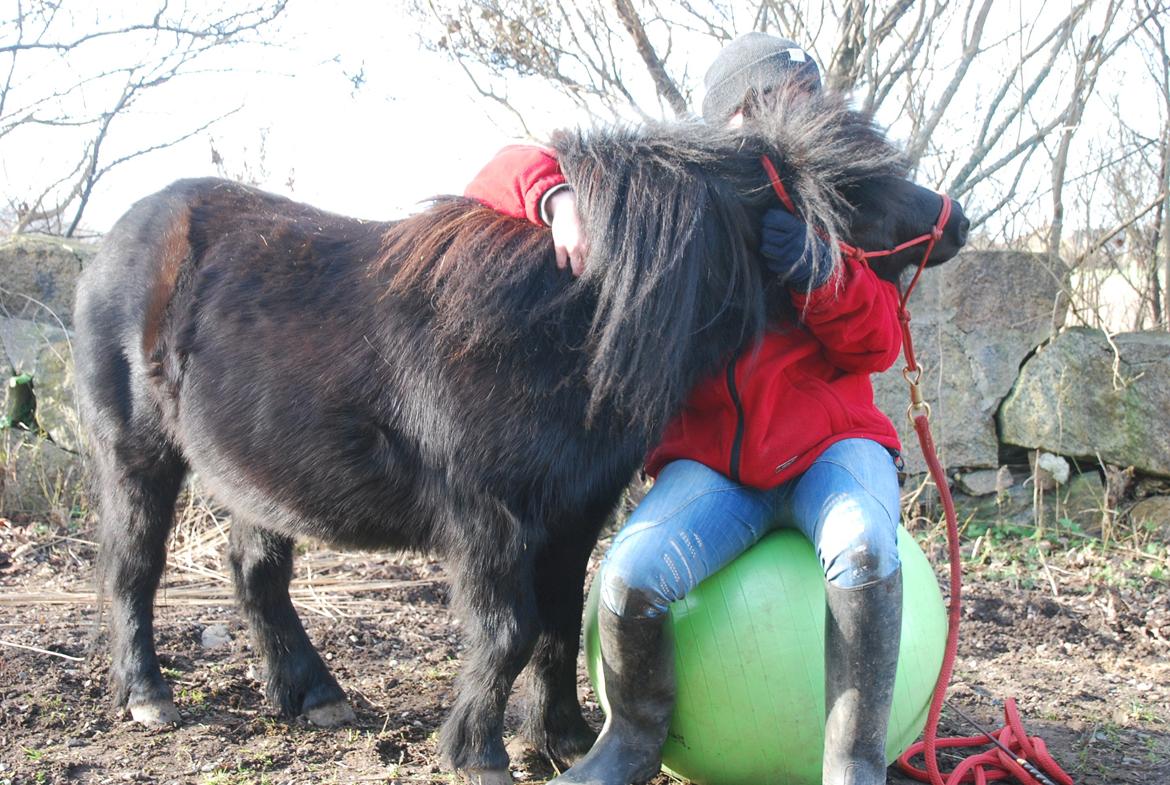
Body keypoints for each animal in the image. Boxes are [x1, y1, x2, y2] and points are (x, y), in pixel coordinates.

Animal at [75, 90, 968, 785]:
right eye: (856, 187)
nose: (955, 221)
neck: (560, 326)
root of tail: (127, 230)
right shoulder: (489, 521)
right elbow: (506, 631)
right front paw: (479, 751)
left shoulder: (573, 515)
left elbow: (558, 622)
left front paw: (564, 738)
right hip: (136, 456)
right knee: (133, 568)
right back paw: (149, 695)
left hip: (256, 479)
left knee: (255, 574)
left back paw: (312, 695)